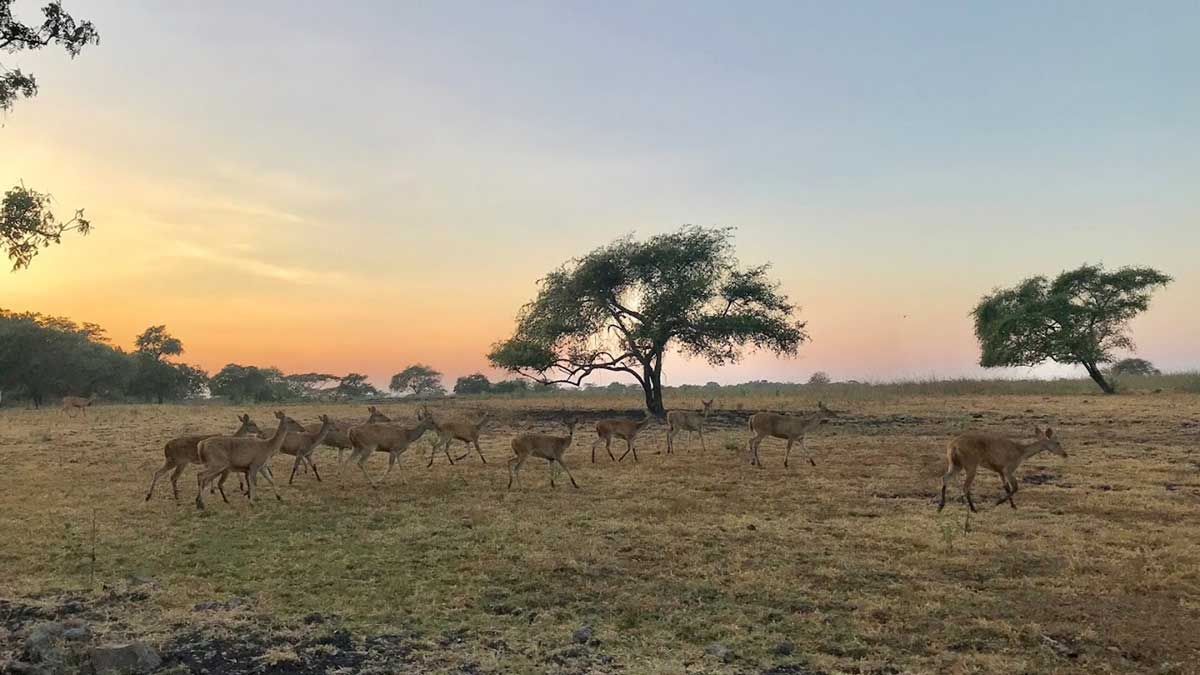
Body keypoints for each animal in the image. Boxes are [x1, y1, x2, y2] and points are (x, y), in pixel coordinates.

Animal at [936, 422, 1070, 511]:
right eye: (1057, 442)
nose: (1065, 454)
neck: (1021, 452)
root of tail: (952, 446)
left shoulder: (999, 470)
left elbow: (1006, 487)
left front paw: (1013, 505)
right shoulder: (1008, 469)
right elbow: (1015, 487)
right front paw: (998, 502)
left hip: (955, 463)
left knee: (944, 477)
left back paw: (941, 506)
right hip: (971, 463)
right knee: (965, 486)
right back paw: (973, 508)